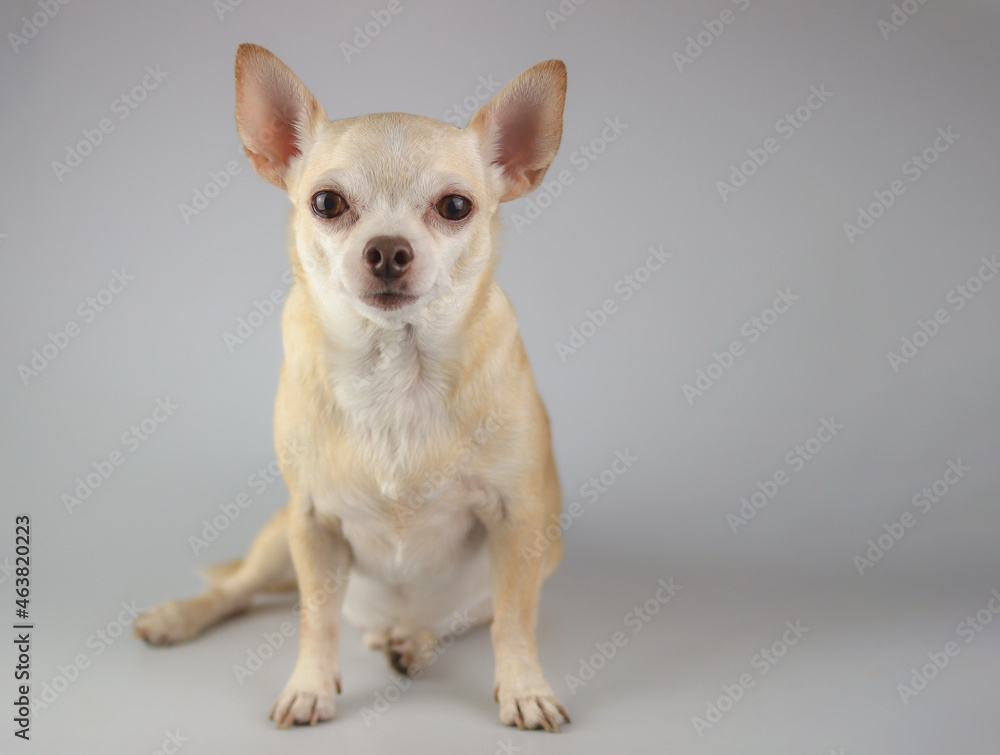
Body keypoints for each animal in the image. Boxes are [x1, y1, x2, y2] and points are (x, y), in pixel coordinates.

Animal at [135, 42, 572, 732]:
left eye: (455, 207)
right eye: (327, 203)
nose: (388, 249)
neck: (395, 367)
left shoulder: (517, 523)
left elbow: (515, 623)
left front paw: (525, 687)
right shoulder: (312, 524)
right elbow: (316, 619)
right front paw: (309, 686)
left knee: (462, 618)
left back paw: (411, 640)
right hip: (278, 537)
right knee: (238, 591)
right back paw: (182, 616)